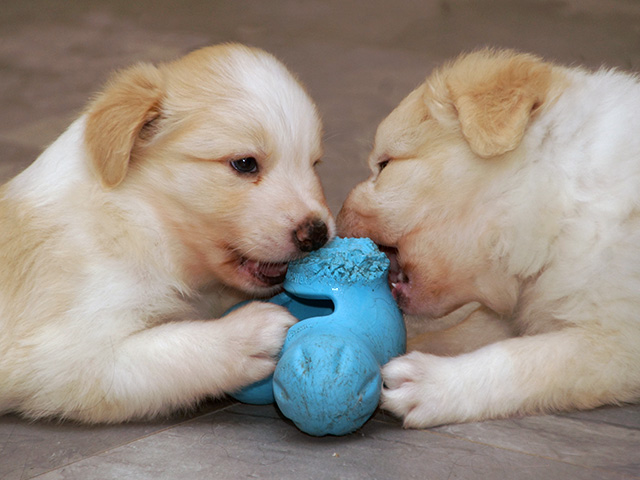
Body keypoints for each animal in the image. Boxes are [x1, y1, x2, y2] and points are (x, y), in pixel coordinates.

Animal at [0, 44, 335, 423]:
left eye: (314, 164)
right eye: (245, 163)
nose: (317, 234)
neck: (141, 222)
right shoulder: (62, 355)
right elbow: (164, 350)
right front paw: (248, 335)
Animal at [338, 48, 640, 428]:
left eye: (385, 164)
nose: (334, 219)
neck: (567, 200)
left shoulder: (618, 341)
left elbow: (529, 358)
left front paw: (432, 384)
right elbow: (456, 333)